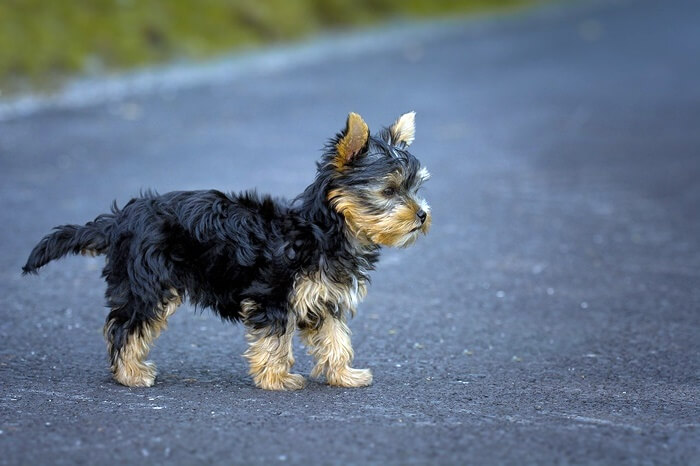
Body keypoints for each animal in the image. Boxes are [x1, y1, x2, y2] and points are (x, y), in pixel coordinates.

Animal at [23, 112, 432, 390]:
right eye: (389, 191)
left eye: (415, 188)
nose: (423, 215)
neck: (323, 230)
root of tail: (121, 219)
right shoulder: (274, 295)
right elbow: (275, 339)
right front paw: (276, 379)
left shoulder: (324, 299)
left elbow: (336, 338)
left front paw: (344, 374)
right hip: (149, 283)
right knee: (127, 326)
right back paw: (130, 374)